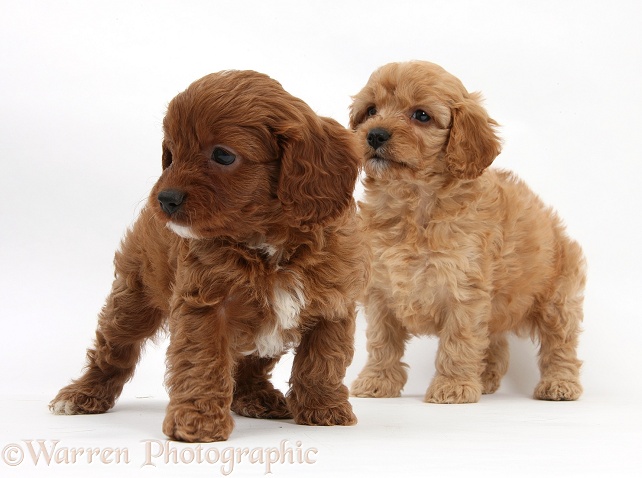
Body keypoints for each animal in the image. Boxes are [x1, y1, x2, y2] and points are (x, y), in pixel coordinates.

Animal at [49, 70, 364, 440]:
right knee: (112, 350)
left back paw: (256, 398)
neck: (268, 245)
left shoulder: (333, 305)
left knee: (252, 365)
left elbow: (322, 362)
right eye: (170, 155)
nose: (165, 199)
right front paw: (196, 423)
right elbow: (202, 363)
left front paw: (323, 409)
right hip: (132, 300)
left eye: (223, 156)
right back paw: (81, 394)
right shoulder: (205, 307)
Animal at [348, 60, 584, 404]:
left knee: (560, 344)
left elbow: (459, 341)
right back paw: (484, 380)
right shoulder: (380, 291)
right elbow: (382, 343)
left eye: (421, 115)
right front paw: (377, 381)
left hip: (557, 300)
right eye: (371, 110)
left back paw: (560, 384)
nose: (375, 135)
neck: (412, 203)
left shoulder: (464, 289)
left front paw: (453, 386)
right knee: (495, 343)